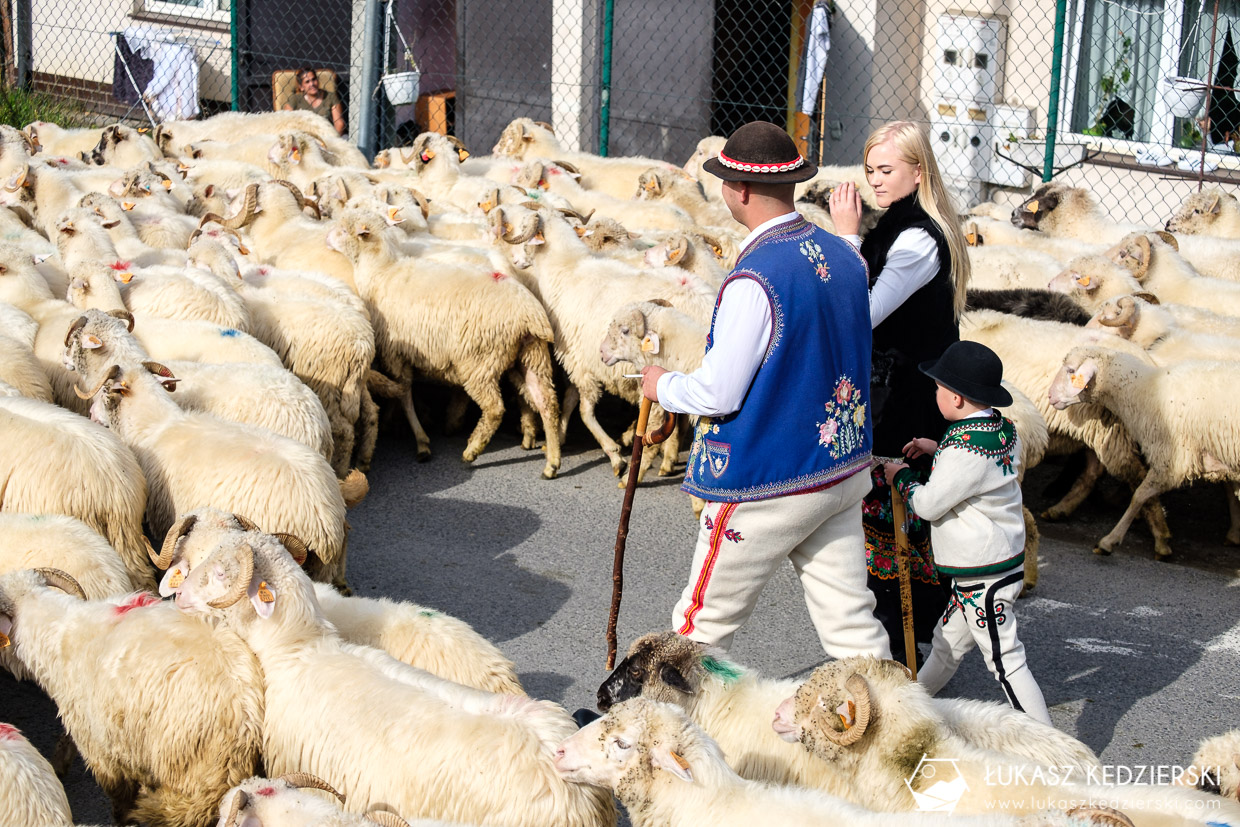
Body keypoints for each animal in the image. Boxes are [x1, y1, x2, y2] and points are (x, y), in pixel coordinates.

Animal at [1051, 347, 1240, 552]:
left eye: (1071, 370)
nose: (1050, 396)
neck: (1143, 391)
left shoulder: (1171, 462)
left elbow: (1139, 496)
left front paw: (1109, 541)